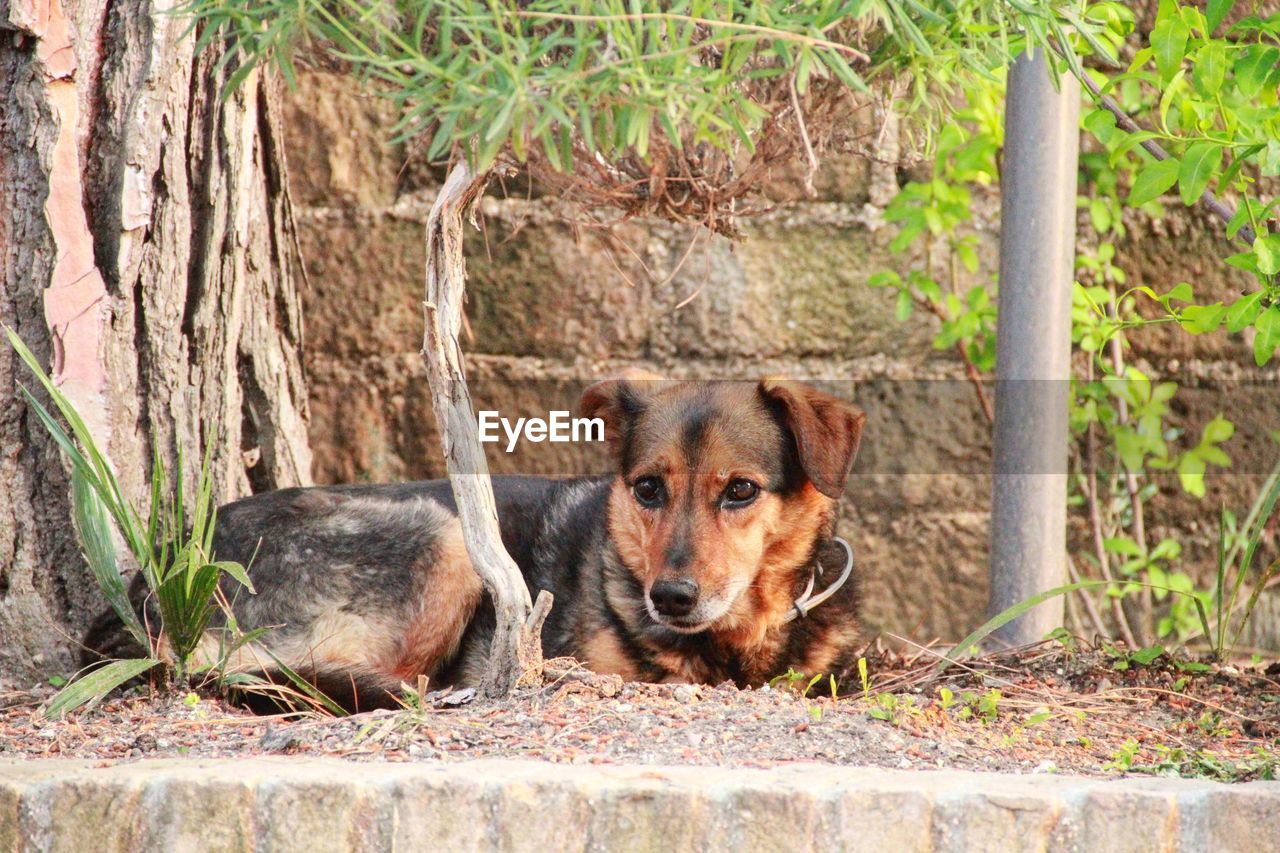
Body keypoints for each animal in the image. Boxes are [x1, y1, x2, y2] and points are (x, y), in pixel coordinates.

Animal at [85, 376, 865, 701]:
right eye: (648, 489)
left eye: (741, 491)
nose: (669, 597)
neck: (740, 637)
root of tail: (151, 588)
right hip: (449, 536)